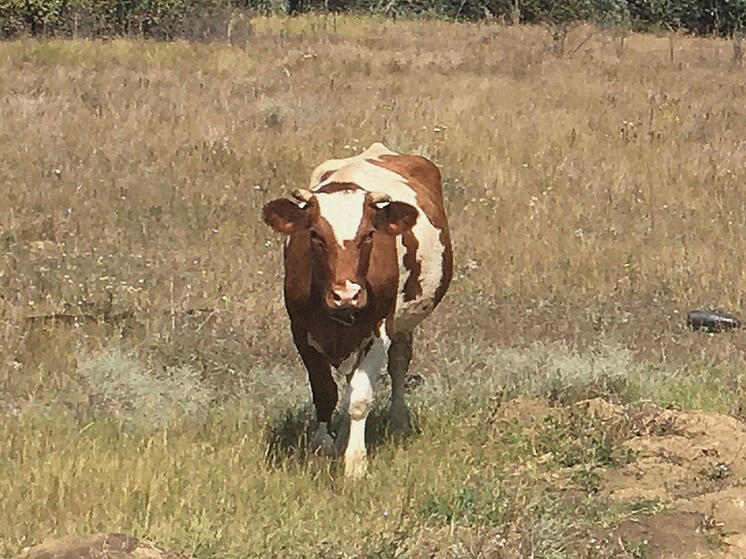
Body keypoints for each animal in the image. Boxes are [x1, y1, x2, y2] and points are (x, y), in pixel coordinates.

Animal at [262, 142, 450, 480]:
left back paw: (397, 419)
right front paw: (324, 447)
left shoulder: (379, 330)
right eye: (315, 235)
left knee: (398, 363)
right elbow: (325, 393)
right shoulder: (301, 331)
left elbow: (360, 397)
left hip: (402, 324)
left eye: (369, 235)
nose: (346, 295)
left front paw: (355, 463)